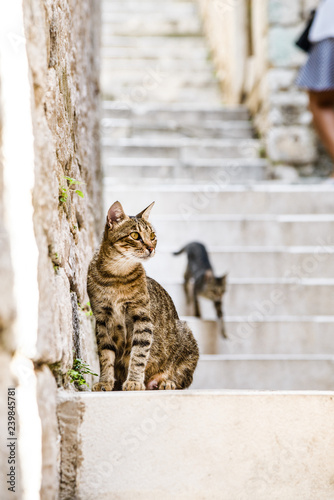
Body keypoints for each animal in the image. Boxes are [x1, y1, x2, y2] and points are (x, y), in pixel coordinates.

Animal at [87, 200, 200, 390]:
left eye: (153, 235)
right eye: (135, 235)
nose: (151, 247)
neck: (116, 275)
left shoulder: (142, 317)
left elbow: (139, 354)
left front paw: (134, 381)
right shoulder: (102, 318)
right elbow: (105, 355)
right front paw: (105, 382)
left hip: (187, 336)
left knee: (184, 378)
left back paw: (164, 381)